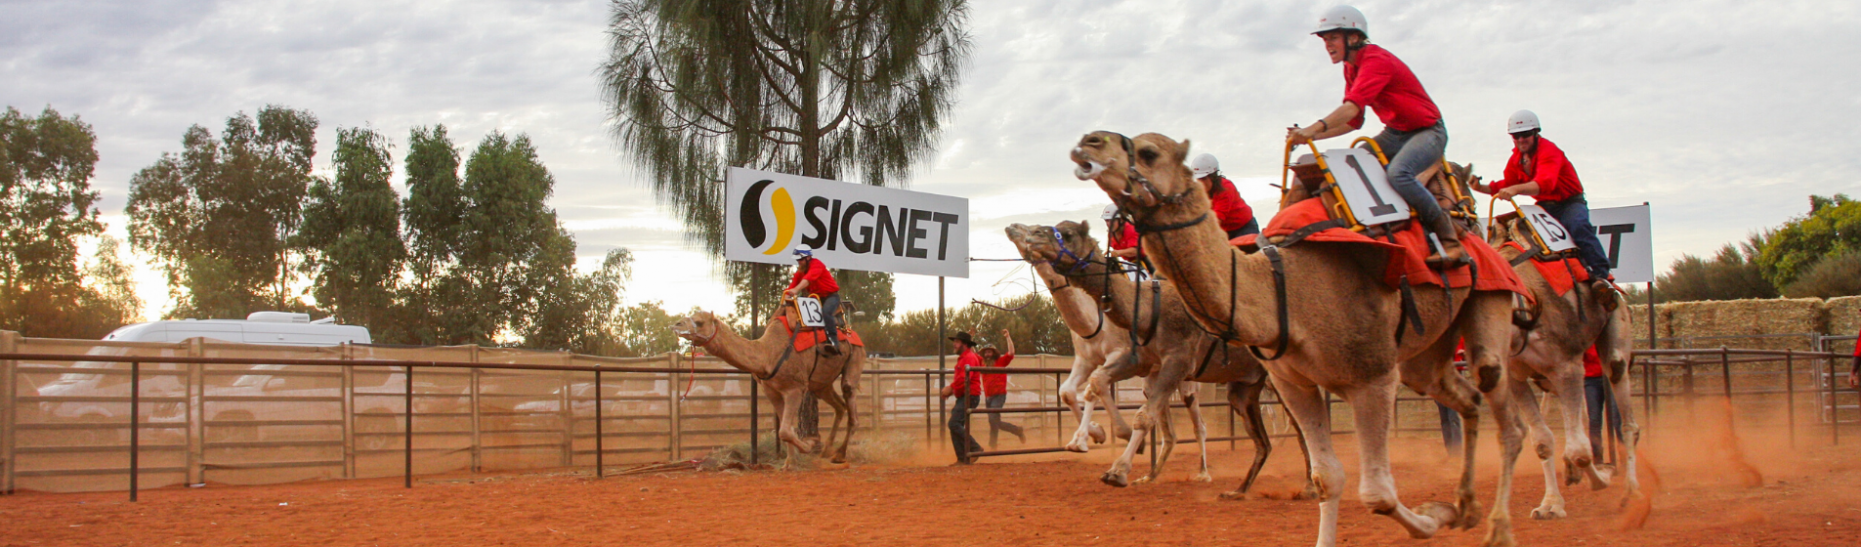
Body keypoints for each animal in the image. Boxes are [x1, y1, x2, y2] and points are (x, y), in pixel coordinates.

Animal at [673, 301, 867, 468]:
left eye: (699, 322)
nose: (676, 324)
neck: (768, 354)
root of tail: (852, 333)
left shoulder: (795, 388)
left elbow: (785, 431)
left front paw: (809, 445)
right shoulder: (772, 391)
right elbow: (786, 429)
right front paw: (790, 463)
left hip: (855, 357)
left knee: (850, 399)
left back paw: (839, 454)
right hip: (821, 385)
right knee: (839, 406)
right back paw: (826, 451)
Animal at [1012, 220, 1317, 498]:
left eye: (1067, 233)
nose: (1021, 231)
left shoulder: (1170, 360)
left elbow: (1139, 413)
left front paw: (1115, 465)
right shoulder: (1132, 361)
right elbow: (1089, 388)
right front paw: (1095, 440)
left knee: (1290, 427)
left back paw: (1304, 486)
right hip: (1243, 387)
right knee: (1257, 438)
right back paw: (1233, 488)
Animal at [1079, 132, 1526, 547]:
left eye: (1149, 152)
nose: (1088, 143)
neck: (1286, 288)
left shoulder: (1374, 377)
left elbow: (1377, 492)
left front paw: (1430, 519)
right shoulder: (1294, 384)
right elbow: (1328, 476)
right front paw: (1440, 512)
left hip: (1490, 301)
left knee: (1506, 414)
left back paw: (1501, 527)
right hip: (1423, 363)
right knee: (1467, 399)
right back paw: (1465, 507)